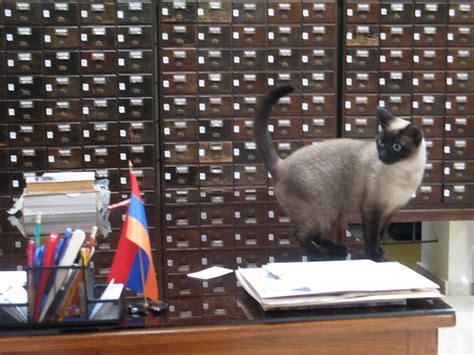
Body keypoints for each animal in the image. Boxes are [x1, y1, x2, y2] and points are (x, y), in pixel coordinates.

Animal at [254, 84, 428, 260]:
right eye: (380, 143)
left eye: (396, 147)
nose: (383, 156)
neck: (405, 171)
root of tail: (281, 164)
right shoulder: (372, 209)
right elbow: (371, 237)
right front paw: (375, 257)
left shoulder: (390, 211)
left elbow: (380, 234)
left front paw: (380, 251)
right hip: (321, 211)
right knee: (301, 236)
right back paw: (322, 255)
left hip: (332, 212)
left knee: (315, 235)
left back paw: (337, 249)